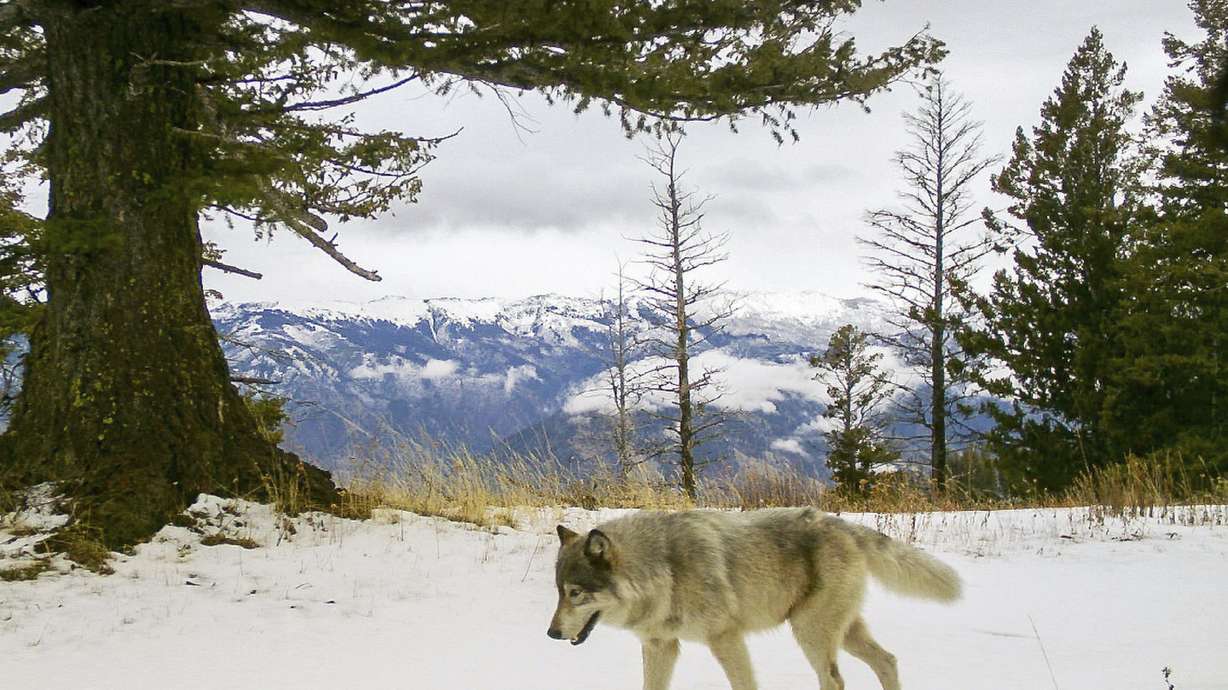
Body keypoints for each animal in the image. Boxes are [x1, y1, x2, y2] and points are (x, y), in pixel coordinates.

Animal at [546, 508, 961, 690]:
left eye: (576, 594)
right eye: (558, 592)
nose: (551, 634)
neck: (664, 569)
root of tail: (842, 524)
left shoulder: (726, 639)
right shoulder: (660, 645)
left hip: (810, 634)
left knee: (835, 680)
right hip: (841, 633)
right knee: (887, 661)